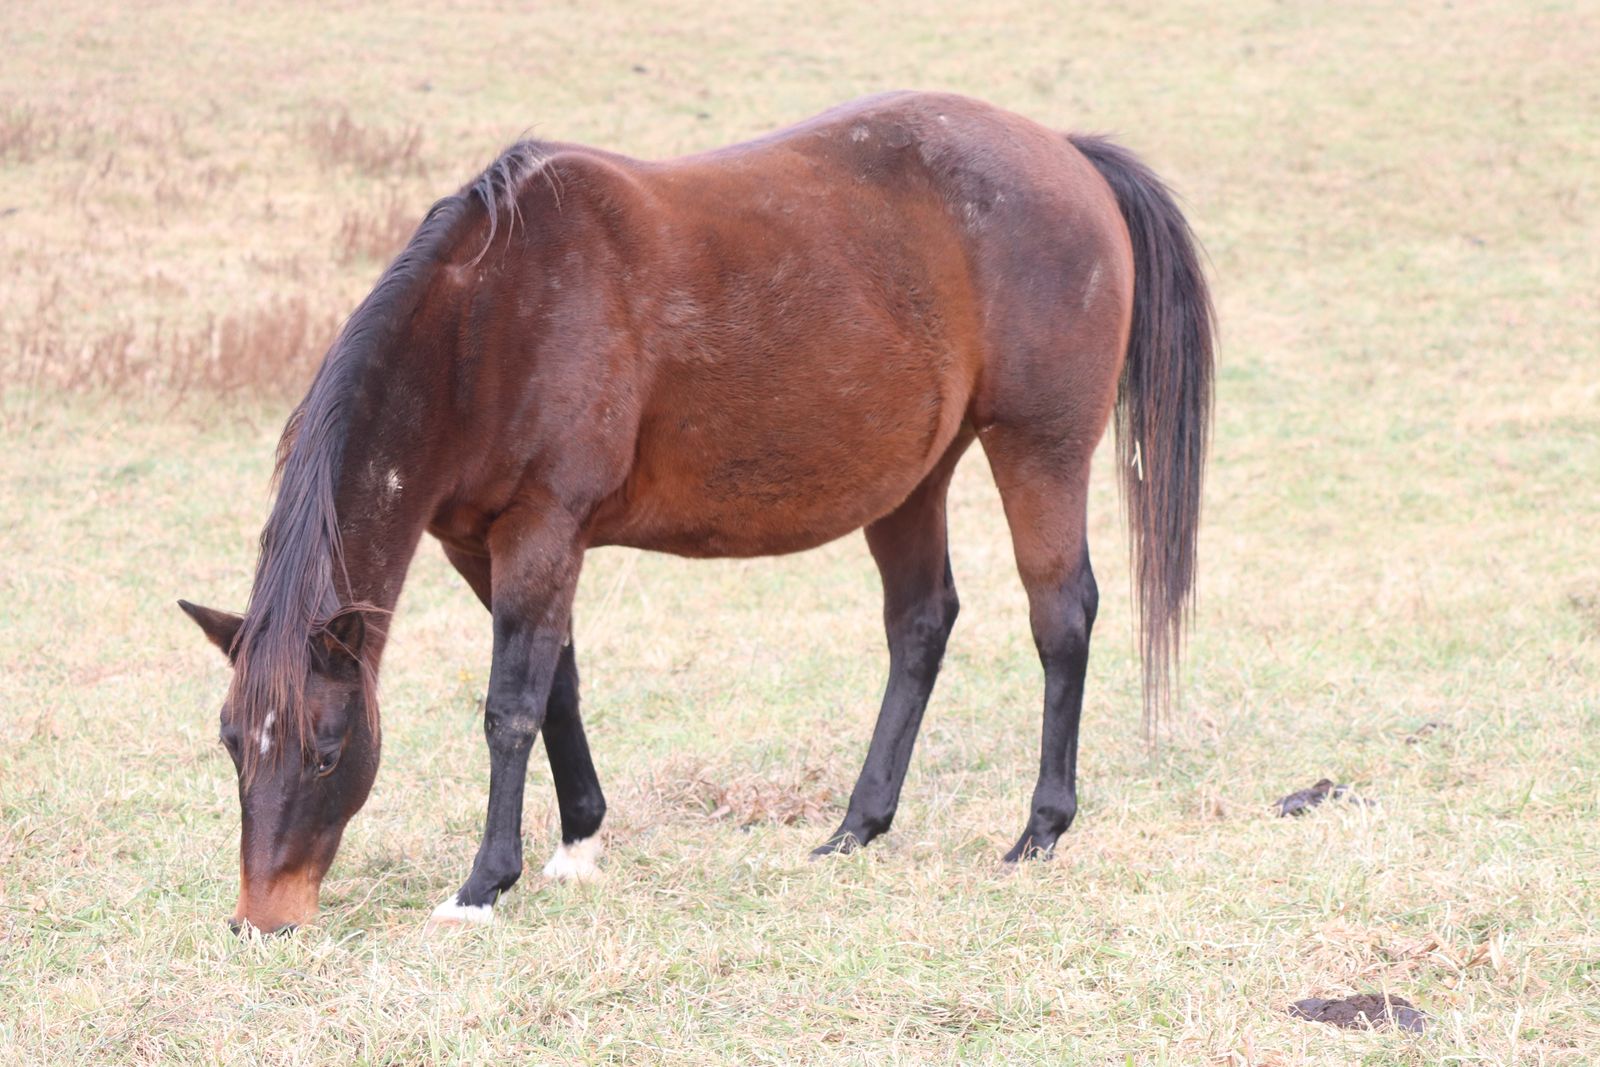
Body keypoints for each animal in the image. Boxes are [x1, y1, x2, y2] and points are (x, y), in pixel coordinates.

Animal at [179, 90, 1214, 934]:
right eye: (231, 744)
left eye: (326, 752)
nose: (262, 921)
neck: (486, 323)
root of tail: (1068, 152)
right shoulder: (489, 546)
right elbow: (557, 685)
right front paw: (578, 841)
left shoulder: (542, 530)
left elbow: (510, 708)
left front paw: (483, 883)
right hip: (914, 478)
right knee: (922, 624)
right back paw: (857, 826)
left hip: (1038, 447)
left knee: (1060, 615)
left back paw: (1039, 829)